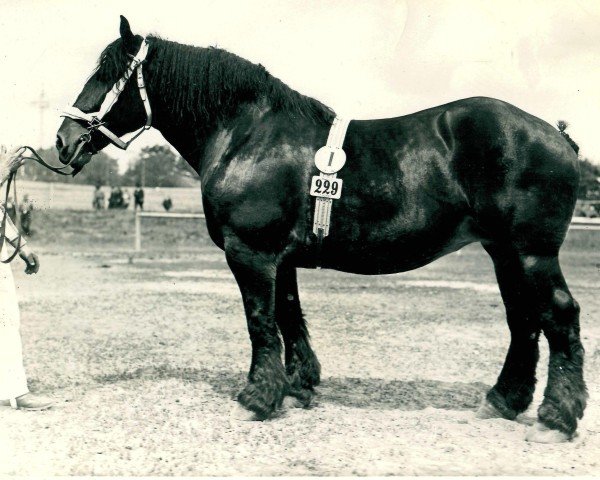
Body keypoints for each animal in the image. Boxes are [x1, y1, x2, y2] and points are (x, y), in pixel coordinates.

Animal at [55, 15, 584, 442]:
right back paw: (504, 401)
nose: (63, 139)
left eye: (107, 76)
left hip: (531, 252)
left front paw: (257, 399)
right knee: (523, 320)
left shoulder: (250, 253)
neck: (249, 134)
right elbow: (289, 315)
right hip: (503, 252)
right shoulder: (281, 258)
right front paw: (296, 388)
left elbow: (260, 321)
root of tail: (557, 135)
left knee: (559, 316)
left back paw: (556, 419)